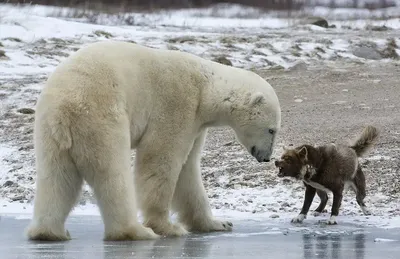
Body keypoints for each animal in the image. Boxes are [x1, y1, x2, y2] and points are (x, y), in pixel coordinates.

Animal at [26, 40, 282, 242]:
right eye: (272, 130)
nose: (266, 157)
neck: (204, 87)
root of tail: (65, 108)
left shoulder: (196, 123)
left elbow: (188, 171)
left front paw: (219, 223)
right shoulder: (177, 103)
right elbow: (160, 159)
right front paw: (168, 227)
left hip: (49, 131)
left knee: (57, 178)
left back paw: (49, 232)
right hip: (100, 118)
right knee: (113, 174)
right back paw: (136, 231)